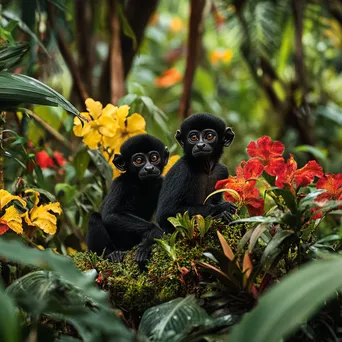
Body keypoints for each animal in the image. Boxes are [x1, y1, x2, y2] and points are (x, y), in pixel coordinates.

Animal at [87, 134, 170, 262]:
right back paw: (111, 254)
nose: (149, 168)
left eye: (154, 158)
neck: (141, 185)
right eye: (139, 160)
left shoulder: (162, 181)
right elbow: (110, 215)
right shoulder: (120, 184)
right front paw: (153, 232)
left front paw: (147, 245)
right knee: (94, 217)